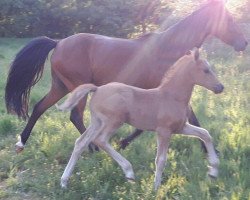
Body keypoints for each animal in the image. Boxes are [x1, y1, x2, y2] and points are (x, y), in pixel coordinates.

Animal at [4, 0, 247, 153]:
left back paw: (22, 143)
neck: (169, 49)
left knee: (39, 108)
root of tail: (58, 42)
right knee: (75, 116)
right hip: (77, 87)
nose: (244, 43)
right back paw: (92, 147)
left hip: (61, 86)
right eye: (229, 20)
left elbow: (190, 119)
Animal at [57, 49, 224, 190]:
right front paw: (156, 188)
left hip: (97, 122)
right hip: (114, 121)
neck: (171, 97)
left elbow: (205, 134)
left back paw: (64, 181)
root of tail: (97, 89)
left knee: (81, 143)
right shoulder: (163, 131)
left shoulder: (181, 127)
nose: (220, 87)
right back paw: (129, 172)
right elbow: (160, 159)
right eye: (206, 70)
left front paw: (213, 171)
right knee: (101, 140)